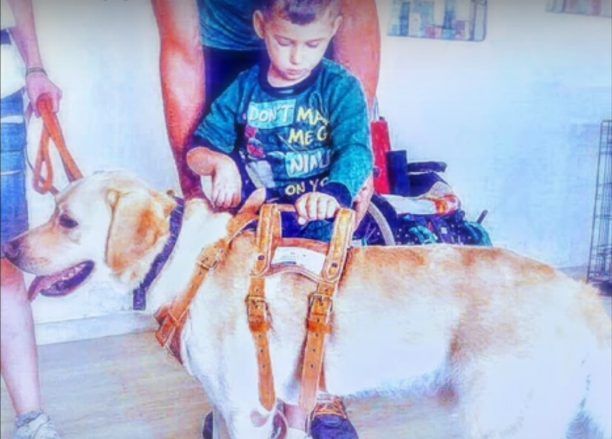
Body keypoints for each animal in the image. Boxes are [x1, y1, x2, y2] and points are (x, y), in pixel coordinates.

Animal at [3, 170, 611, 439]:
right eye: (51, 209)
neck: (187, 259)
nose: (8, 248)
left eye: (67, 221)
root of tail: (580, 293)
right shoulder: (238, 411)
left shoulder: (249, 412)